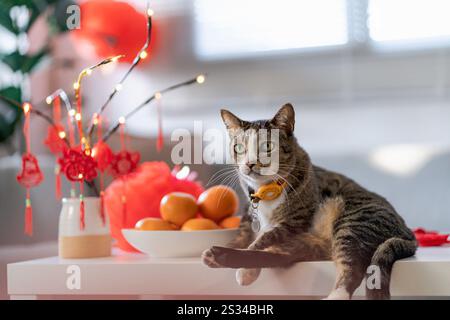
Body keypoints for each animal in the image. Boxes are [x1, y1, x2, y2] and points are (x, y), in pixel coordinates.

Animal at [202, 104, 416, 300]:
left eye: (267, 146)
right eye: (239, 148)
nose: (249, 164)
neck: (265, 192)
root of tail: (409, 234)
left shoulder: (294, 221)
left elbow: (264, 238)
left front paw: (246, 271)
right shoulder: (249, 213)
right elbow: (242, 236)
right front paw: (226, 248)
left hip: (353, 223)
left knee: (352, 270)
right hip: (310, 242)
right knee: (281, 256)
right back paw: (219, 254)